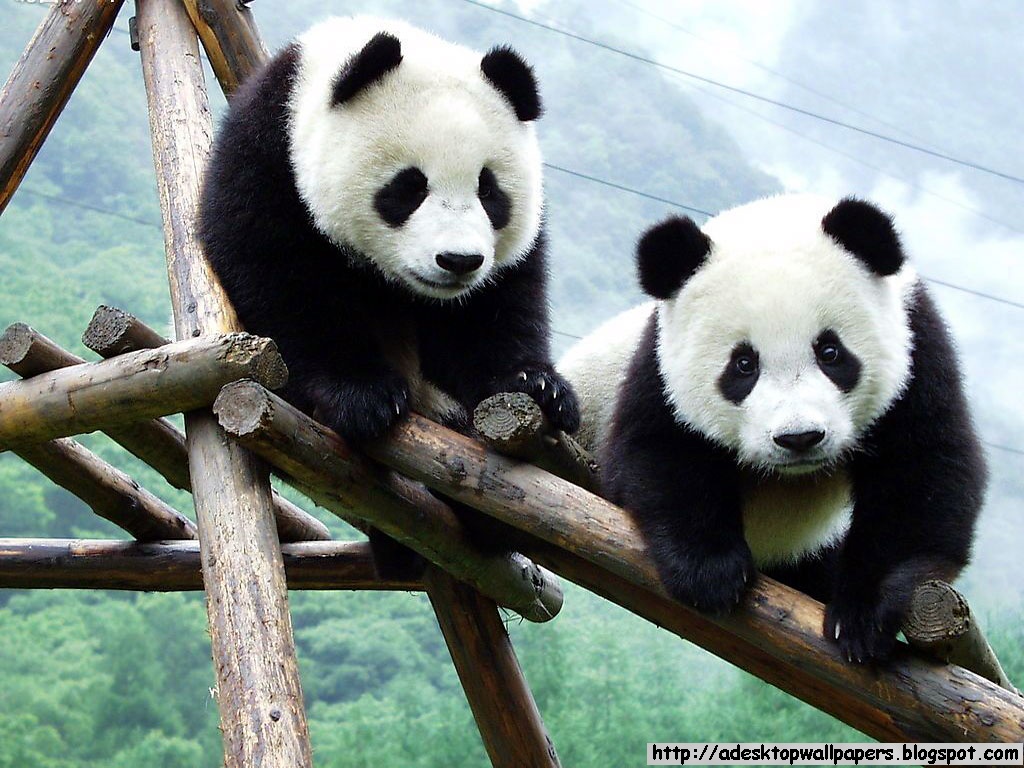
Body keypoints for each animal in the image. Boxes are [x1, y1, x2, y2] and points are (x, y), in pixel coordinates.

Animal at [198, 16, 579, 445]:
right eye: (410, 187)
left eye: (488, 190)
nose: (458, 261)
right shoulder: (268, 158)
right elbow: (283, 277)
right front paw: (362, 395)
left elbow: (496, 306)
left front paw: (537, 384)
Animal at [559, 194, 987, 662]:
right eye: (744, 364)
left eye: (830, 352)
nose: (799, 438)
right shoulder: (659, 365)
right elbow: (657, 451)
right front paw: (710, 572)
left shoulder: (918, 345)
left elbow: (922, 471)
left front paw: (863, 617)